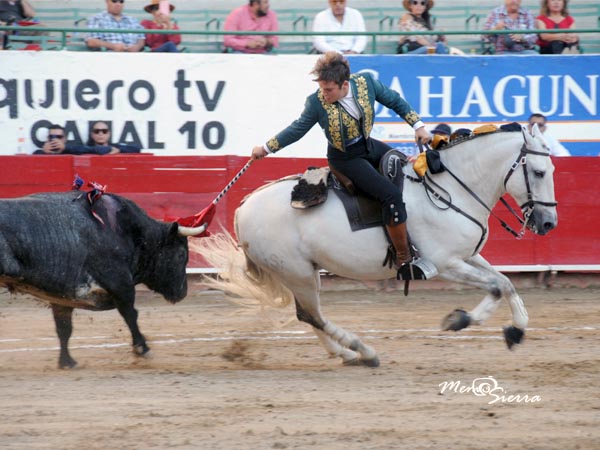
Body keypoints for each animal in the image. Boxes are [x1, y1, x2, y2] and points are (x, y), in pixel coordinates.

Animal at [0, 192, 202, 368]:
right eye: (181, 254)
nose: (183, 292)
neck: (128, 231)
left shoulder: (61, 296)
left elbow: (64, 328)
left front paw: (67, 362)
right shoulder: (121, 284)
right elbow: (131, 315)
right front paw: (142, 349)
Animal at [197, 125, 556, 368]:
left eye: (552, 169)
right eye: (539, 172)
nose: (548, 223)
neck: (451, 187)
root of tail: (244, 205)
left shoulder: (468, 256)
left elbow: (506, 283)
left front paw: (516, 330)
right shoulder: (445, 263)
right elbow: (496, 286)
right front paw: (458, 320)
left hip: (303, 273)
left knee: (308, 315)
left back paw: (344, 353)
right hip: (297, 272)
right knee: (312, 315)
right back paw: (363, 351)